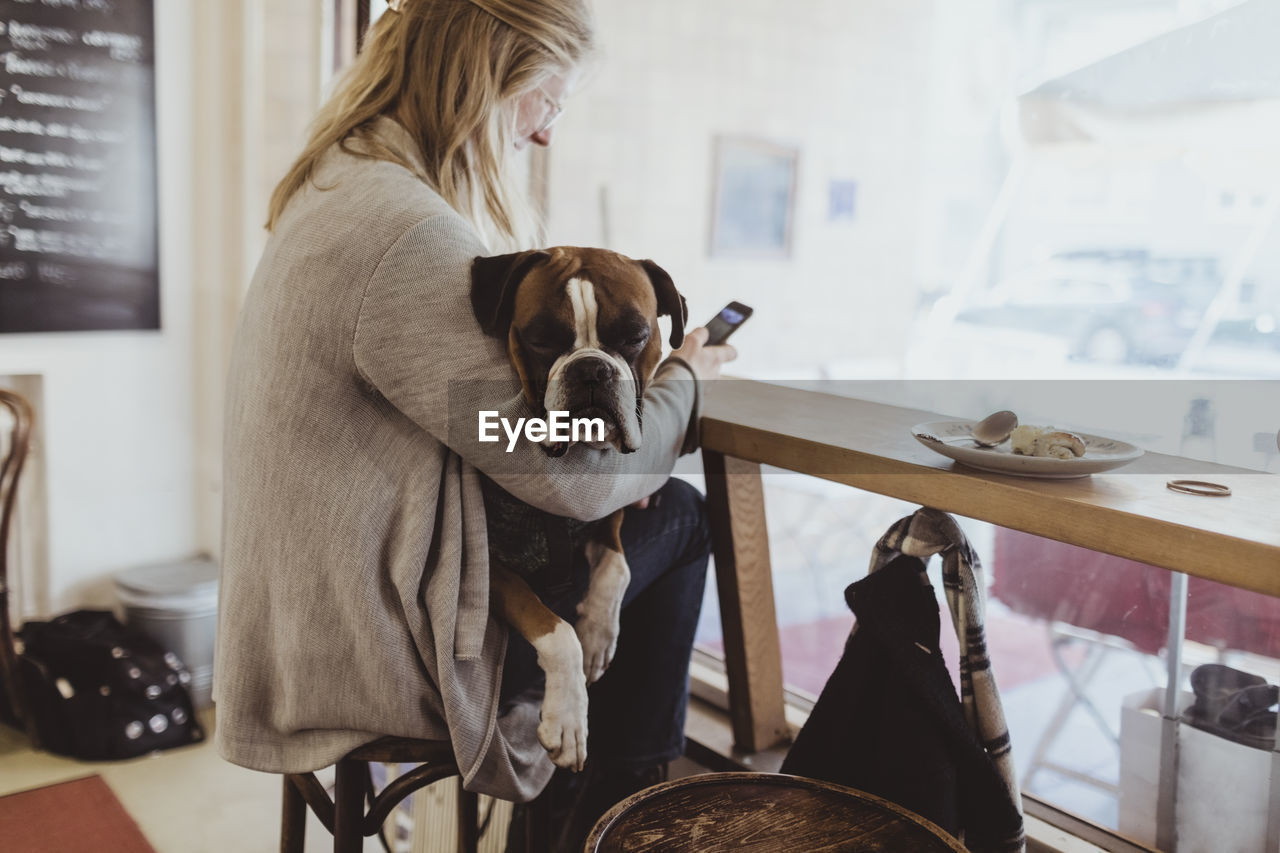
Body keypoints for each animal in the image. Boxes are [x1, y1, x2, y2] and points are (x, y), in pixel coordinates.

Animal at [473, 245, 691, 768]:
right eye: (539, 339)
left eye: (635, 336)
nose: (591, 369)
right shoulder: (491, 565)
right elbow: (555, 630)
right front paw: (569, 716)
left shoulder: (604, 513)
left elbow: (617, 567)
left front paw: (597, 635)